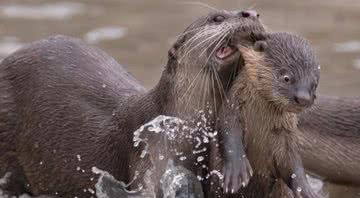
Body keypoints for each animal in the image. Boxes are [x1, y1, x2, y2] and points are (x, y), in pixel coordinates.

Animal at [218, 33, 322, 197]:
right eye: (286, 78)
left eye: (314, 83)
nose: (304, 98)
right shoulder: (232, 107)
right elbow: (228, 131)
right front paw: (236, 172)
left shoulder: (285, 136)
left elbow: (293, 164)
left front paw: (306, 190)